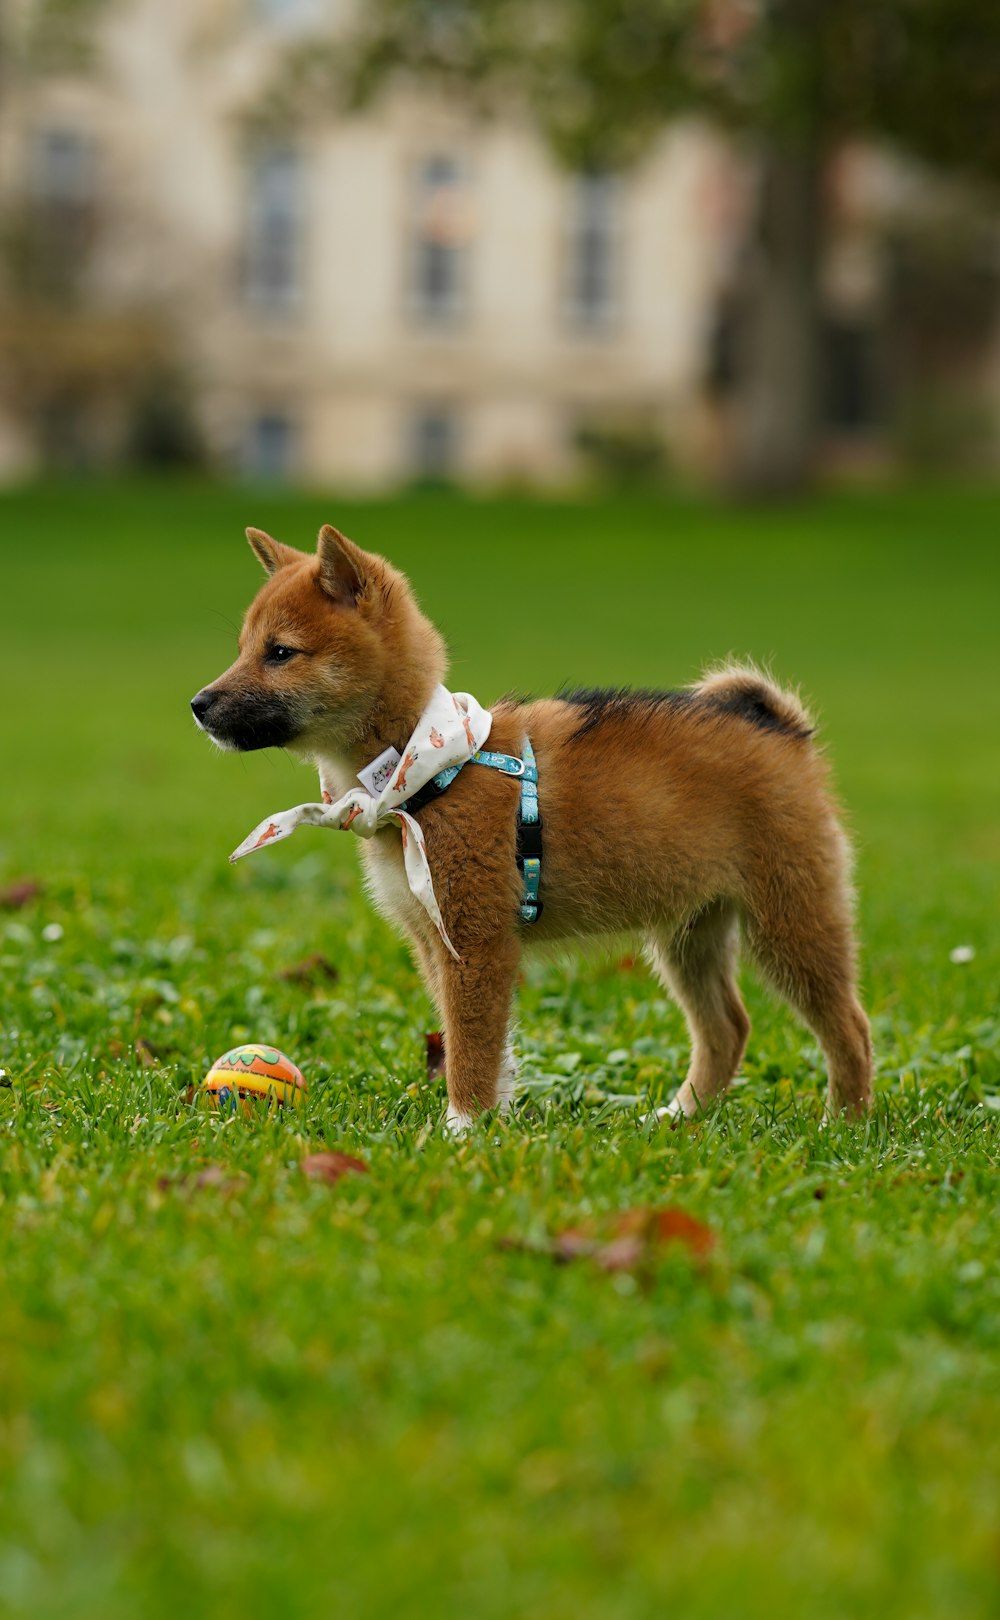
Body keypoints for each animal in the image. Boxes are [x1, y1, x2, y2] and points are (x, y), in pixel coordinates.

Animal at [191, 524, 868, 1134]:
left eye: (280, 652)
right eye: (244, 647)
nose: (198, 705)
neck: (427, 766)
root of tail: (782, 729)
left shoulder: (477, 943)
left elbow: (471, 1047)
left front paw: (462, 1128)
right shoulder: (436, 944)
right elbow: (477, 1047)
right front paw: (489, 1116)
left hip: (790, 922)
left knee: (850, 1027)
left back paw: (846, 1124)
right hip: (690, 933)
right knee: (728, 1030)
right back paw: (680, 1116)